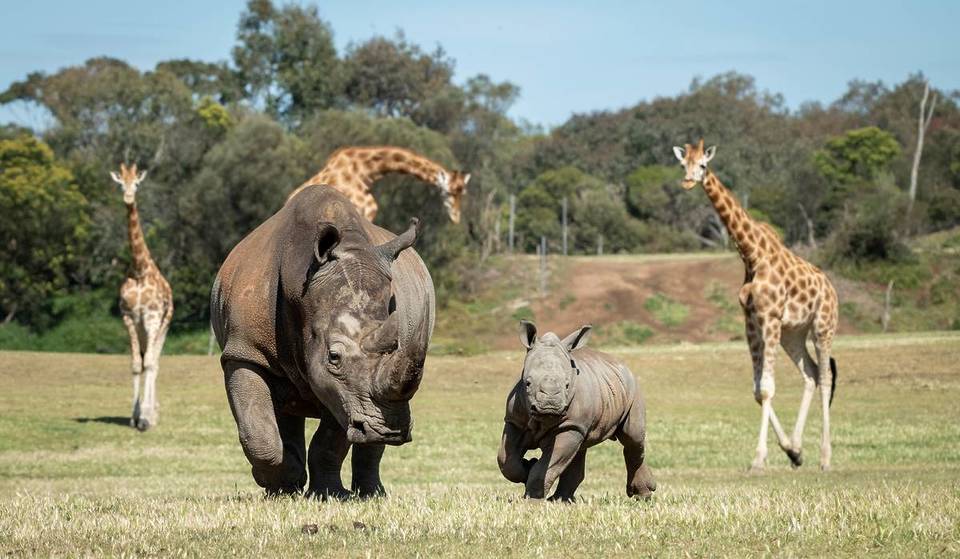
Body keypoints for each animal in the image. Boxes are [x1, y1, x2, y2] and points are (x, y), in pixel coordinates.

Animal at [210, 185, 434, 498]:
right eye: (334, 356)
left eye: (395, 347)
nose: (389, 431)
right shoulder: (245, 351)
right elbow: (259, 431)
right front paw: (274, 486)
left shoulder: (345, 392)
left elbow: (331, 440)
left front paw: (330, 495)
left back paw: (371, 494)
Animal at [498, 321, 657, 501]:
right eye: (528, 383)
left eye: (567, 385)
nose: (550, 406)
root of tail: (623, 365)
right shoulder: (514, 421)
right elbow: (506, 460)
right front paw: (528, 466)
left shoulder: (571, 425)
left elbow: (548, 466)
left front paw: (532, 499)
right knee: (579, 450)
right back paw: (561, 501)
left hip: (633, 390)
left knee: (632, 439)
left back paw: (643, 495)